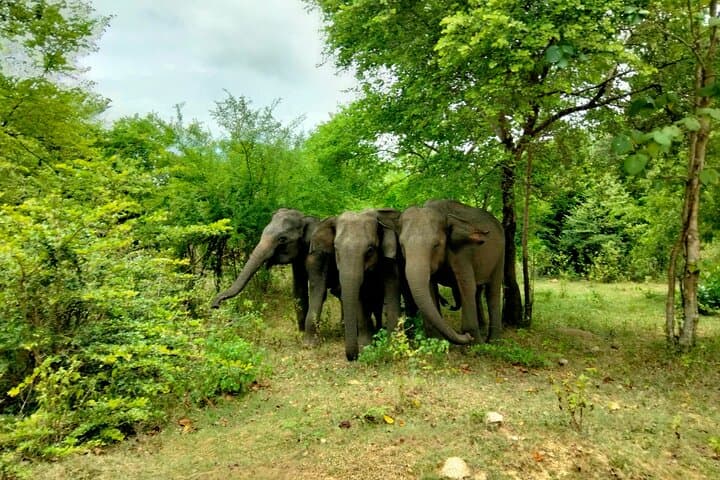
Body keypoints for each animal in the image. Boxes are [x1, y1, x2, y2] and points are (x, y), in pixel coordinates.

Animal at [211, 208, 338, 341]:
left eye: (282, 239)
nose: (216, 306)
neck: (305, 219)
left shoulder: (319, 255)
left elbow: (317, 288)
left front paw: (308, 341)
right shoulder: (298, 259)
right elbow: (299, 288)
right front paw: (301, 333)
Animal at [311, 209, 402, 361]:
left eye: (370, 250)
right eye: (336, 249)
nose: (353, 357)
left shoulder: (390, 260)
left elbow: (392, 292)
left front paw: (391, 345)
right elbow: (359, 300)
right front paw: (366, 346)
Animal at [397, 199, 505, 344]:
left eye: (436, 245)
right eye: (401, 245)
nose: (466, 336)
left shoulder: (462, 251)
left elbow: (466, 285)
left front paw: (477, 343)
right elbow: (430, 288)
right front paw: (436, 340)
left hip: (500, 255)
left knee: (492, 291)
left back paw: (493, 341)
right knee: (479, 292)